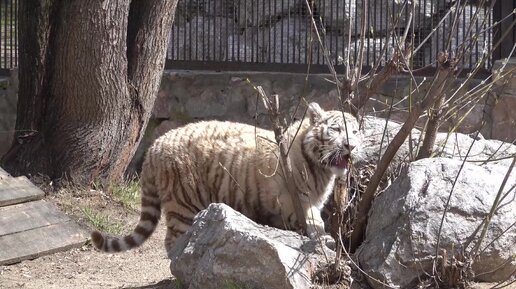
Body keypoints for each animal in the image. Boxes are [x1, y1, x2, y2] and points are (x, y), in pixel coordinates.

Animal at [90, 102, 360, 253]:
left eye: (357, 131)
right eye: (336, 129)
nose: (352, 146)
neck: (320, 167)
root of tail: (153, 147)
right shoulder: (295, 202)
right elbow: (315, 223)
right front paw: (325, 242)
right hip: (183, 204)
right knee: (173, 241)